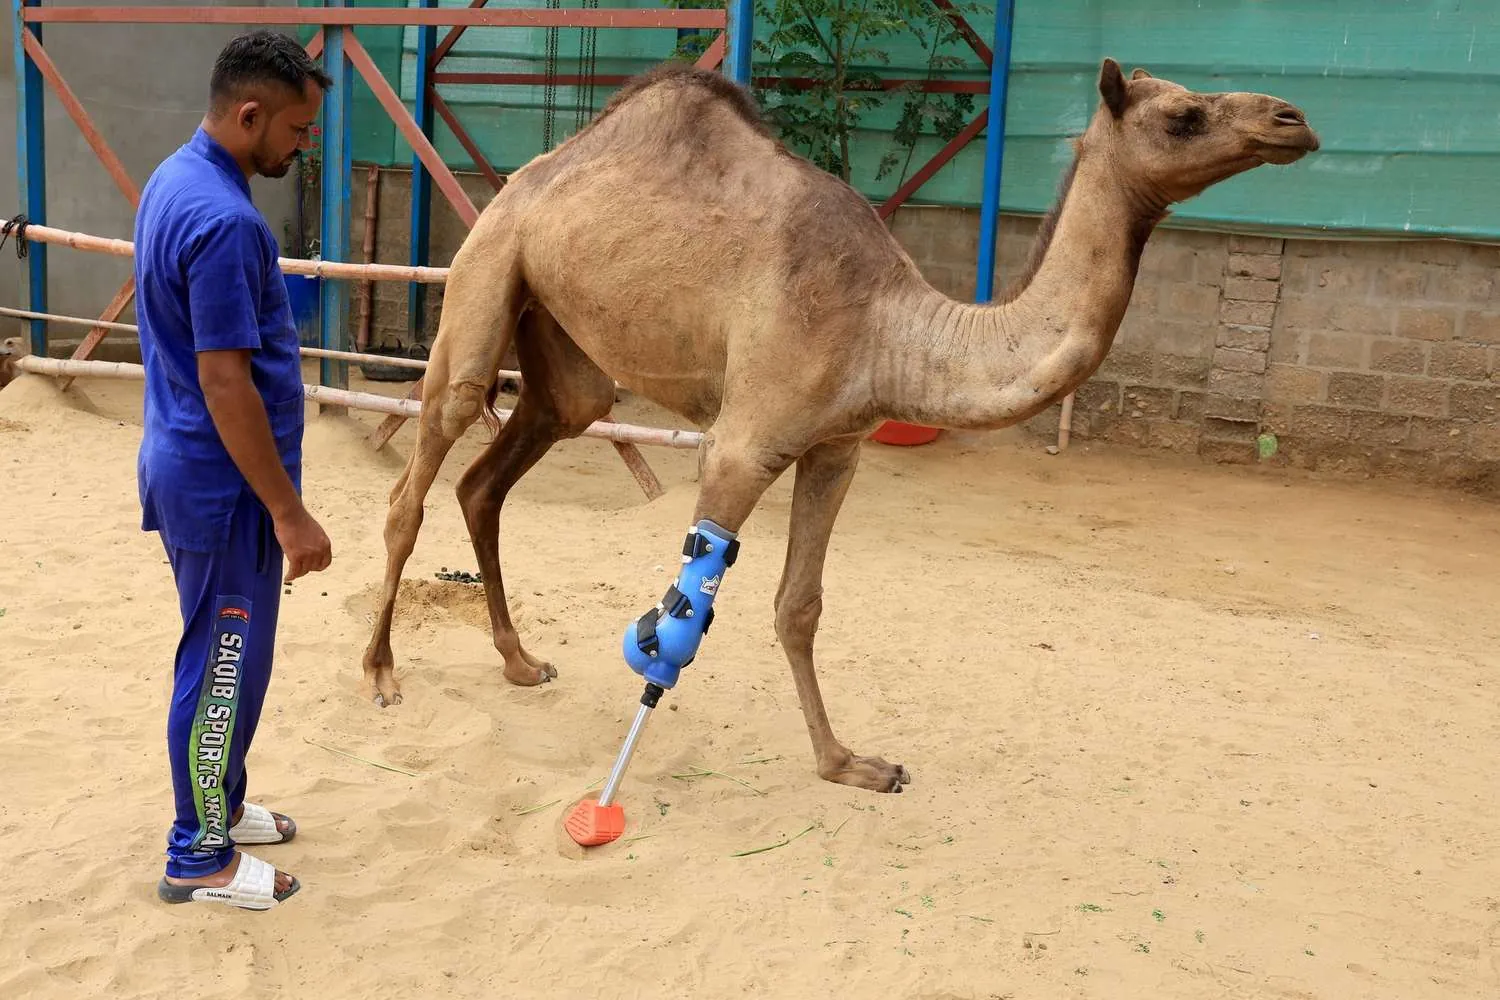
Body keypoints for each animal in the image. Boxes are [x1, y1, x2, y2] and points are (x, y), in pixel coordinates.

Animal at [360, 58, 1318, 793]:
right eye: (1186, 115)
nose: (1295, 119)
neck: (887, 328)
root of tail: (529, 175)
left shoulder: (836, 447)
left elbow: (800, 605)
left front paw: (849, 763)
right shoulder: (742, 447)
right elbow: (679, 625)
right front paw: (606, 802)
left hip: (570, 368)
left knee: (489, 479)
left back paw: (520, 662)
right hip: (486, 273)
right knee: (417, 476)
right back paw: (380, 673)